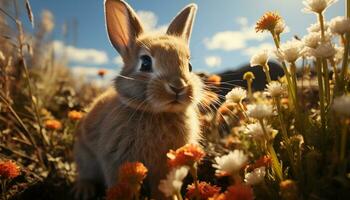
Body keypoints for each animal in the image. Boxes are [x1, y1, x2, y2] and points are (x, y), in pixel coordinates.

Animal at [74, 0, 204, 198]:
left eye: (189, 66)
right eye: (145, 63)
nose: (178, 86)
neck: (159, 113)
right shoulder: (115, 161)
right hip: (84, 156)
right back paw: (83, 190)